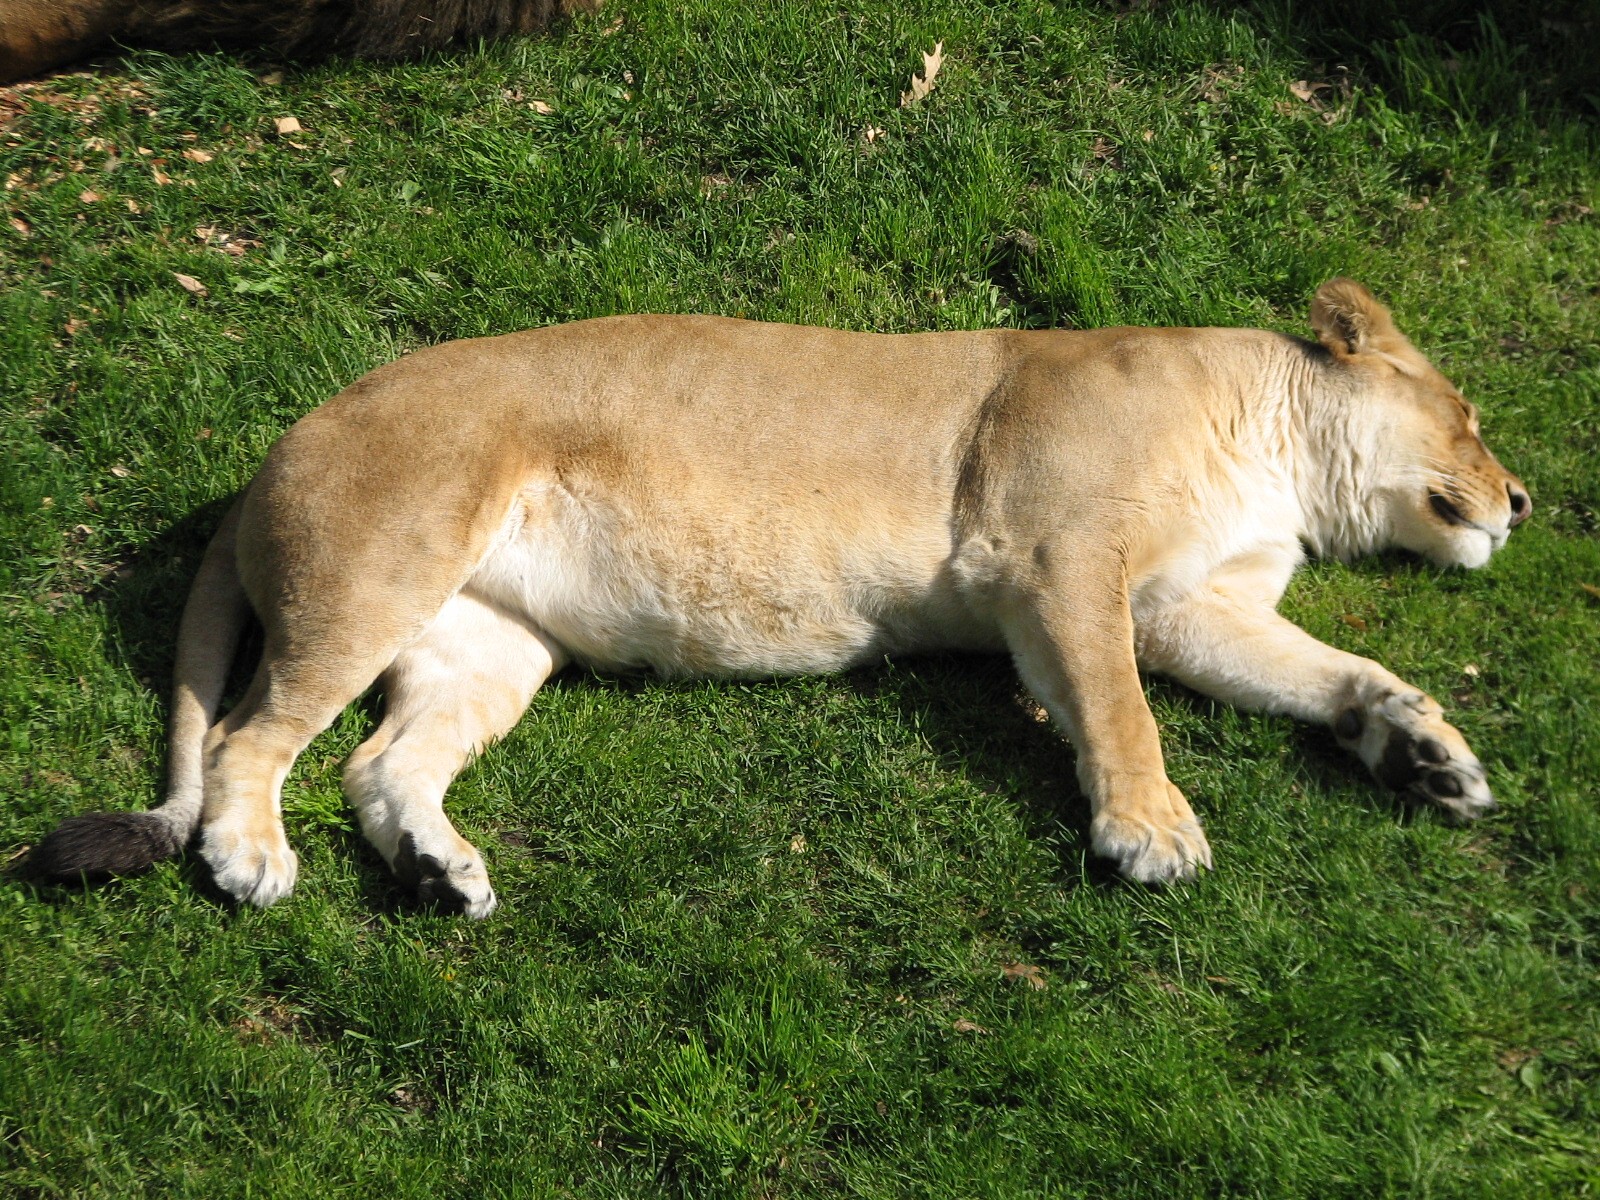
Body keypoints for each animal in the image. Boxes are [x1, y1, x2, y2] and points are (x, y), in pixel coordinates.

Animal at [25, 280, 1531, 915]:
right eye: (1468, 417)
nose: (1520, 500)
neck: (1275, 453)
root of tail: (275, 446)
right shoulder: (1055, 562)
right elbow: (1120, 711)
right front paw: (1151, 831)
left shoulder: (1184, 605)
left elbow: (1327, 676)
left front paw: (1424, 751)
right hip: (383, 569)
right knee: (247, 737)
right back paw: (247, 859)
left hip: (486, 644)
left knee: (381, 766)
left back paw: (443, 874)